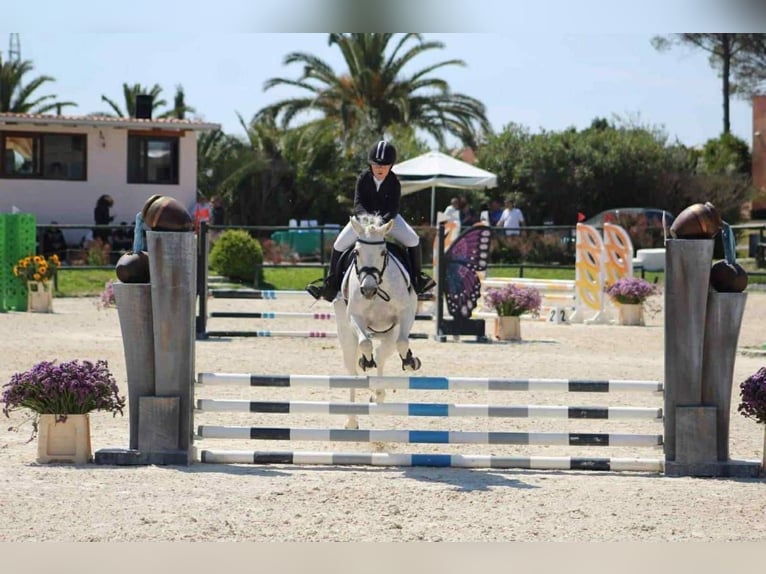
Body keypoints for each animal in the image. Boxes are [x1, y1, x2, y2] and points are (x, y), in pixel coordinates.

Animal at [332, 214, 422, 429]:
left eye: (383, 253)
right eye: (356, 252)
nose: (368, 290)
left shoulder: (405, 314)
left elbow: (402, 343)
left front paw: (409, 361)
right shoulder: (355, 317)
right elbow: (365, 343)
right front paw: (366, 362)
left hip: (389, 334)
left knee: (382, 354)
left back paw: (378, 393)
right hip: (346, 335)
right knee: (353, 372)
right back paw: (352, 420)